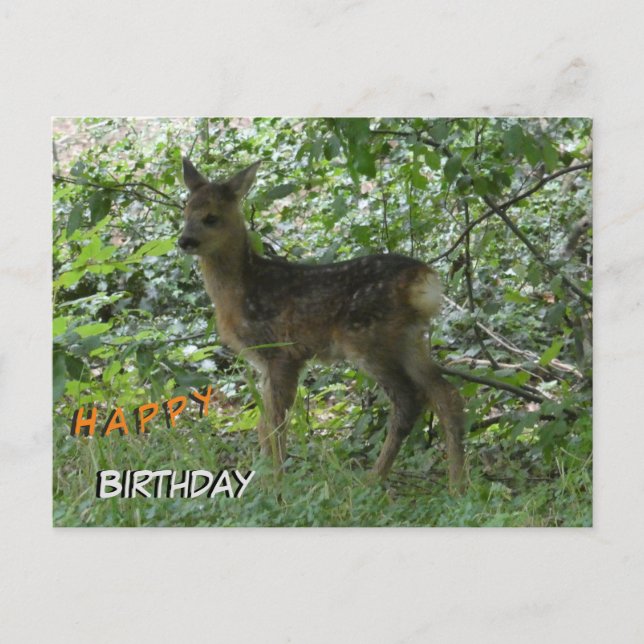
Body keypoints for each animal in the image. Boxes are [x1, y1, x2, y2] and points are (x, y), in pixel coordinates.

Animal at [178, 158, 466, 491]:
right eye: (185, 212)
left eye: (211, 217)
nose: (184, 241)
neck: (242, 289)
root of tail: (423, 279)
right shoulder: (267, 362)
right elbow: (265, 422)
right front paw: (266, 477)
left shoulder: (281, 351)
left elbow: (273, 422)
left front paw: (273, 482)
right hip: (411, 338)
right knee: (446, 394)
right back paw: (457, 484)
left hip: (367, 338)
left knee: (409, 401)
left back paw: (373, 480)